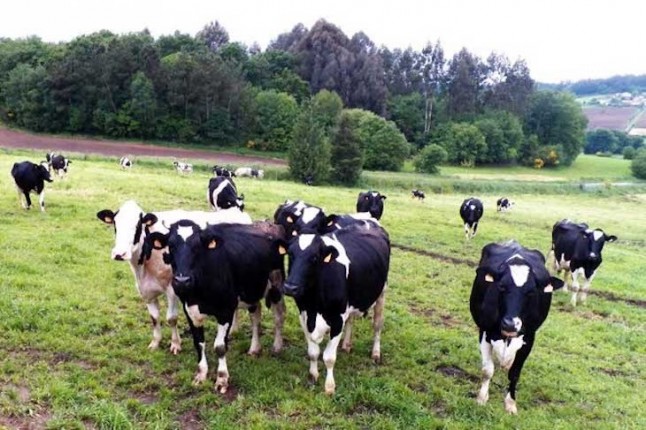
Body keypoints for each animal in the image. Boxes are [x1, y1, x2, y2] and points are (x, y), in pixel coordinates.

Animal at [96, 200, 252, 354]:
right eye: (115, 224)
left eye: (138, 225)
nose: (119, 254)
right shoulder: (146, 290)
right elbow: (154, 318)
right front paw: (155, 342)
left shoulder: (172, 288)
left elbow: (171, 318)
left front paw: (175, 344)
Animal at [147, 221, 286, 393]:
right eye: (171, 246)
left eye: (197, 246)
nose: (182, 281)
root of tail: (268, 224)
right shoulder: (190, 310)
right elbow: (199, 343)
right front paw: (201, 374)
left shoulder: (226, 311)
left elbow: (220, 346)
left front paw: (222, 378)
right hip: (252, 290)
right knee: (255, 317)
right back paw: (254, 348)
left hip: (276, 285)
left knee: (279, 316)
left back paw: (277, 346)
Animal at [278, 223, 390, 394]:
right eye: (290, 254)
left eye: (314, 258)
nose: (290, 287)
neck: (314, 304)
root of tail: (368, 223)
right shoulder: (303, 316)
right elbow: (313, 353)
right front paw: (313, 376)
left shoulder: (337, 319)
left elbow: (329, 358)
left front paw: (329, 387)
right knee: (351, 319)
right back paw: (346, 345)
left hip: (381, 292)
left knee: (377, 324)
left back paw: (376, 353)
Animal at [470, 240, 564, 414]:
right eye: (501, 286)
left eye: (531, 292)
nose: (510, 324)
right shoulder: (484, 330)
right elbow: (487, 370)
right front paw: (481, 398)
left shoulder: (529, 338)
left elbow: (514, 373)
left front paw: (510, 403)